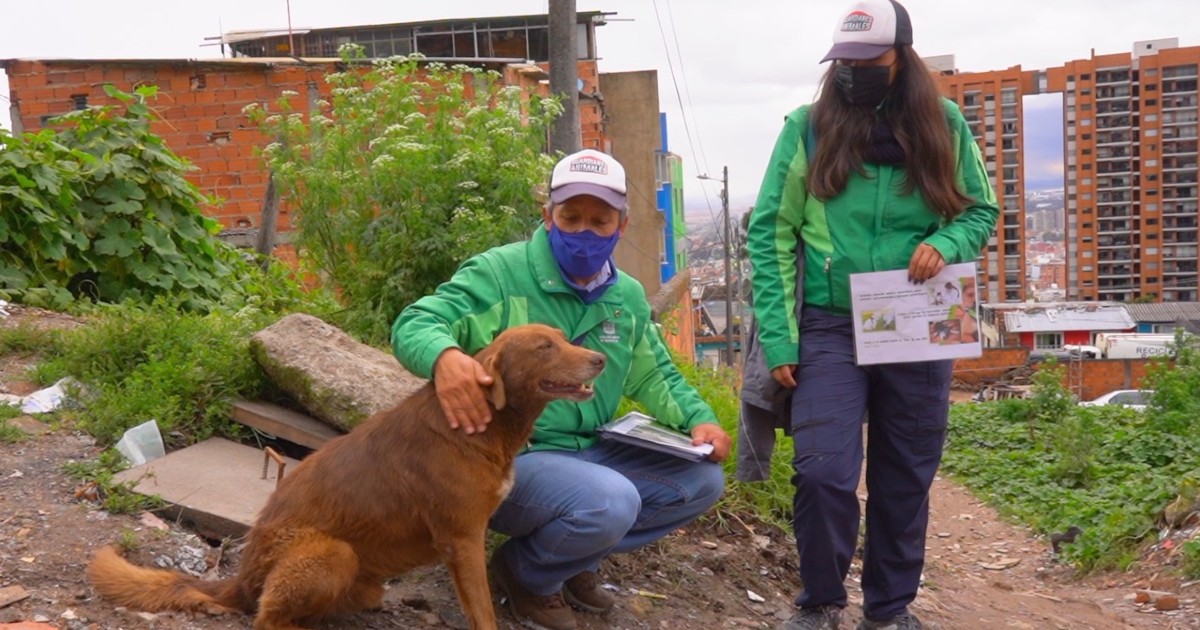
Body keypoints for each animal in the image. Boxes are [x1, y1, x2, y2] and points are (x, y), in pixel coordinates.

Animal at [87, 324, 604, 628]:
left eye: (563, 338)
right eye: (544, 347)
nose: (599, 359)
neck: (488, 425)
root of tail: (240, 577)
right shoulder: (462, 538)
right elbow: (481, 610)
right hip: (332, 553)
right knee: (265, 618)